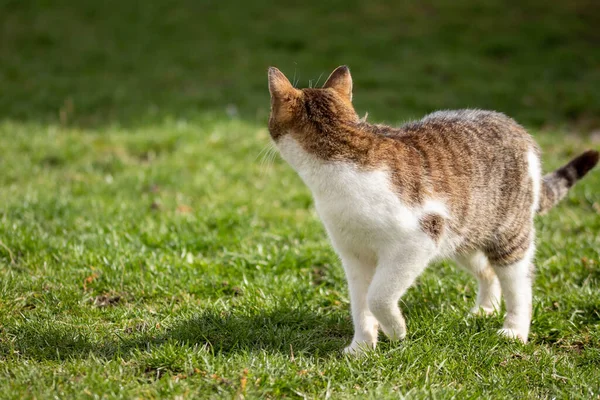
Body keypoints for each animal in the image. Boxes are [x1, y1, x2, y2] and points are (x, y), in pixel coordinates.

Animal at [268, 64, 600, 354]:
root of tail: (519, 130)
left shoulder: (416, 240)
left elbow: (379, 296)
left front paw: (396, 331)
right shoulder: (355, 255)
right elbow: (360, 305)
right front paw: (361, 348)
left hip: (507, 235)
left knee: (519, 282)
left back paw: (514, 331)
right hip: (464, 235)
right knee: (487, 272)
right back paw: (484, 310)